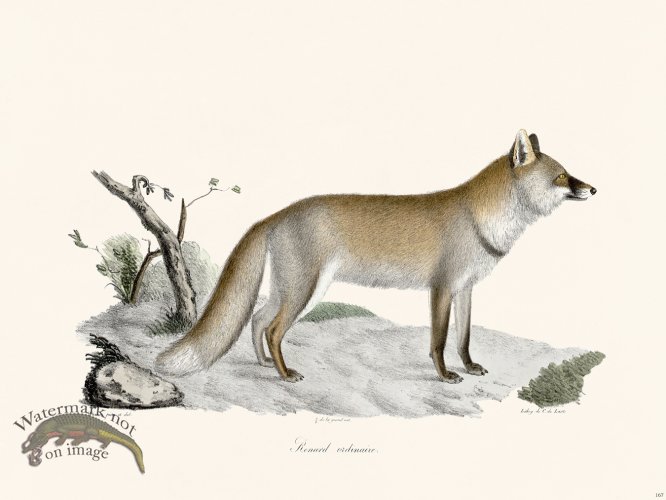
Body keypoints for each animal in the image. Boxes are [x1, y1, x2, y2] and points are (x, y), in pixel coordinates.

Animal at [156, 129, 596, 383]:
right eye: (561, 176)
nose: (593, 188)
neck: (479, 219)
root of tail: (277, 214)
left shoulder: (466, 289)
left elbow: (464, 338)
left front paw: (469, 367)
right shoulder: (441, 288)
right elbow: (439, 341)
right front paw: (445, 376)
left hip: (297, 290)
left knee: (259, 319)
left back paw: (264, 365)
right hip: (303, 291)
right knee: (274, 328)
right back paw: (284, 374)